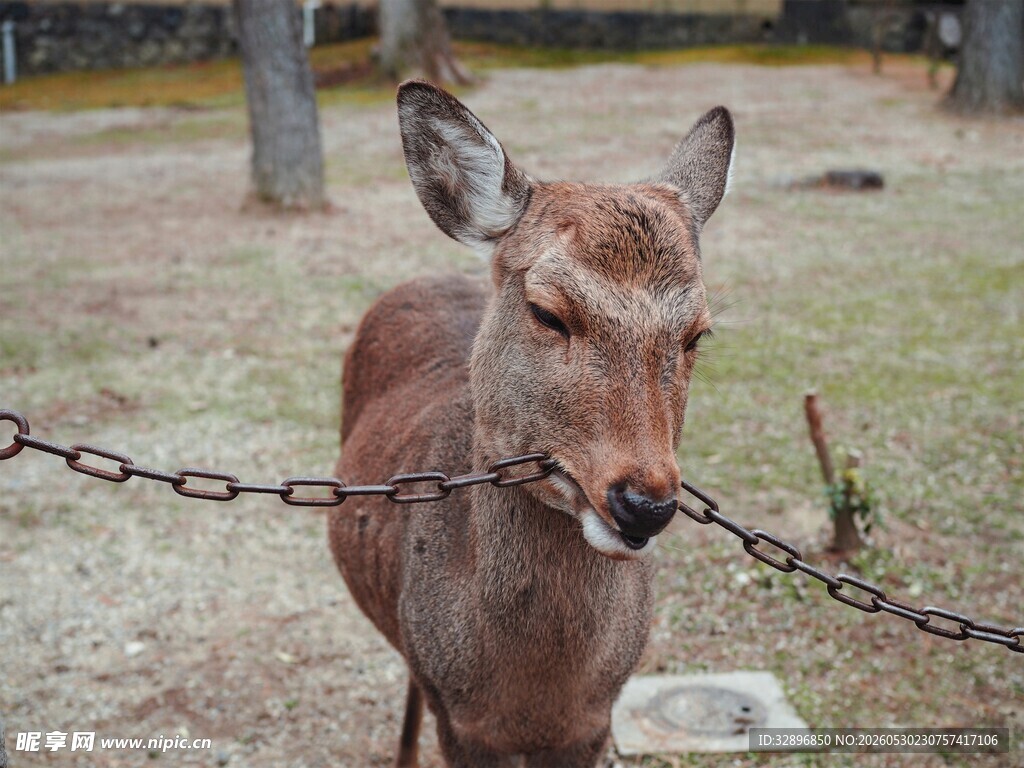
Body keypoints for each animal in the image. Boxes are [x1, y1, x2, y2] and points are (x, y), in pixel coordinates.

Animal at [328, 80, 734, 767]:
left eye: (697, 334)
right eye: (547, 312)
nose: (645, 504)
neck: (536, 696)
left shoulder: (593, 722)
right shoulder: (460, 719)